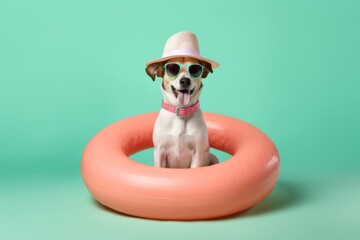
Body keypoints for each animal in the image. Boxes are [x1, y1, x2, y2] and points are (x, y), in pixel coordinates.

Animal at [146, 31, 219, 168]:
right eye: (172, 68)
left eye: (195, 69)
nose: (185, 81)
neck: (180, 113)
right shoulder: (159, 152)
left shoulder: (197, 153)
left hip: (213, 158)